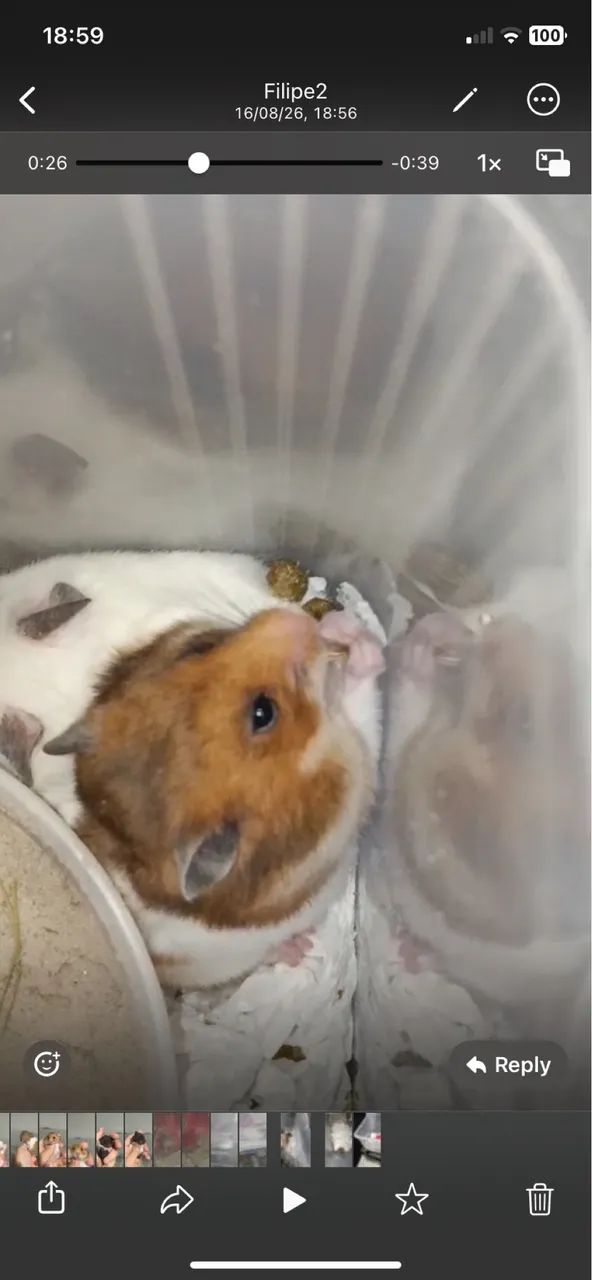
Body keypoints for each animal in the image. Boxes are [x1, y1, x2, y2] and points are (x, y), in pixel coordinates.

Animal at [43, 604, 383, 990]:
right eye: (263, 712)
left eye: (200, 647)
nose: (294, 618)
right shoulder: (353, 765)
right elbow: (360, 708)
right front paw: (351, 640)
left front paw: (338, 627)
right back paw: (297, 949)